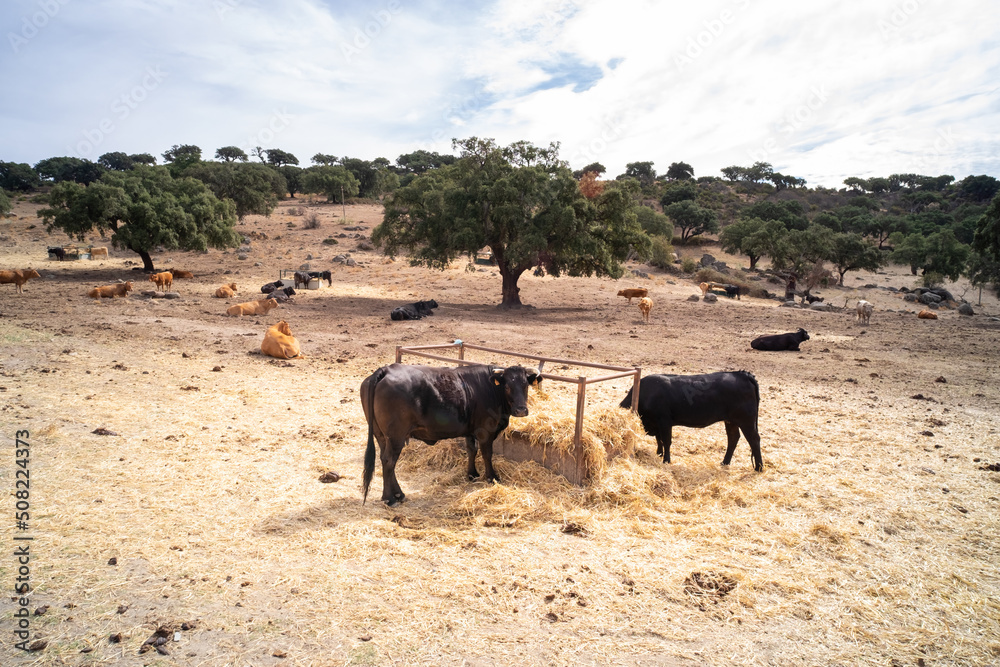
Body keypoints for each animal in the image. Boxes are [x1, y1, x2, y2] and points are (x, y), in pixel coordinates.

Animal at [362, 366, 540, 506]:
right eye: (507, 386)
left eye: (525, 385)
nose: (521, 410)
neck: (491, 389)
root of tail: (386, 369)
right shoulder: (486, 430)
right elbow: (487, 454)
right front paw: (492, 478)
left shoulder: (470, 430)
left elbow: (471, 450)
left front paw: (472, 474)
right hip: (396, 436)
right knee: (389, 461)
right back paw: (390, 498)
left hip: (381, 435)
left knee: (385, 460)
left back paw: (398, 494)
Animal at [616, 370, 764, 474]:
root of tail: (741, 374)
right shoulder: (657, 424)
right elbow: (659, 440)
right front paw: (659, 453)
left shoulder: (664, 421)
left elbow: (666, 441)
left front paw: (666, 460)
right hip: (730, 421)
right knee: (733, 438)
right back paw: (725, 463)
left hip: (746, 421)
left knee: (754, 440)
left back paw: (759, 467)